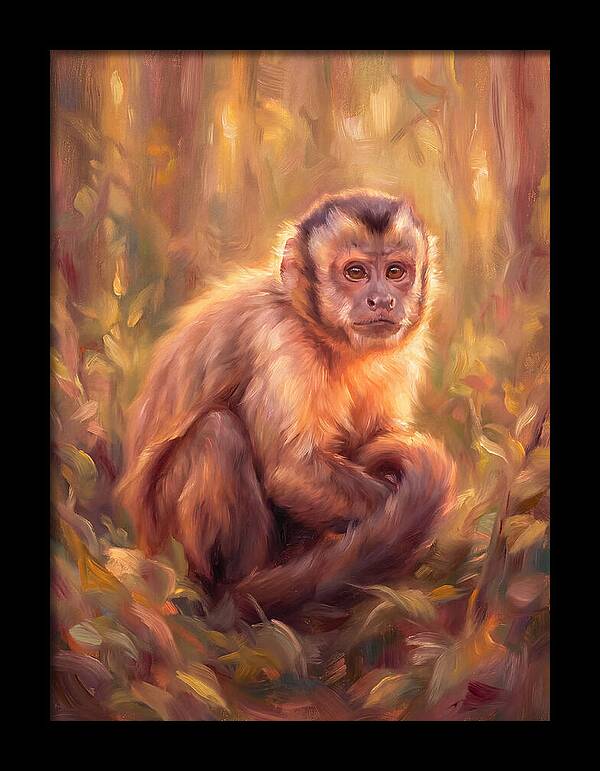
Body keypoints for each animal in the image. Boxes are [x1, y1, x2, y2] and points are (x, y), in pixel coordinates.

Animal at [117, 189, 456, 624]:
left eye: (396, 271)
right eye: (356, 273)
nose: (382, 300)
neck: (324, 336)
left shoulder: (401, 354)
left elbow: (377, 437)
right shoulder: (280, 339)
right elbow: (292, 471)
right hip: (166, 539)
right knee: (218, 433)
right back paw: (236, 591)